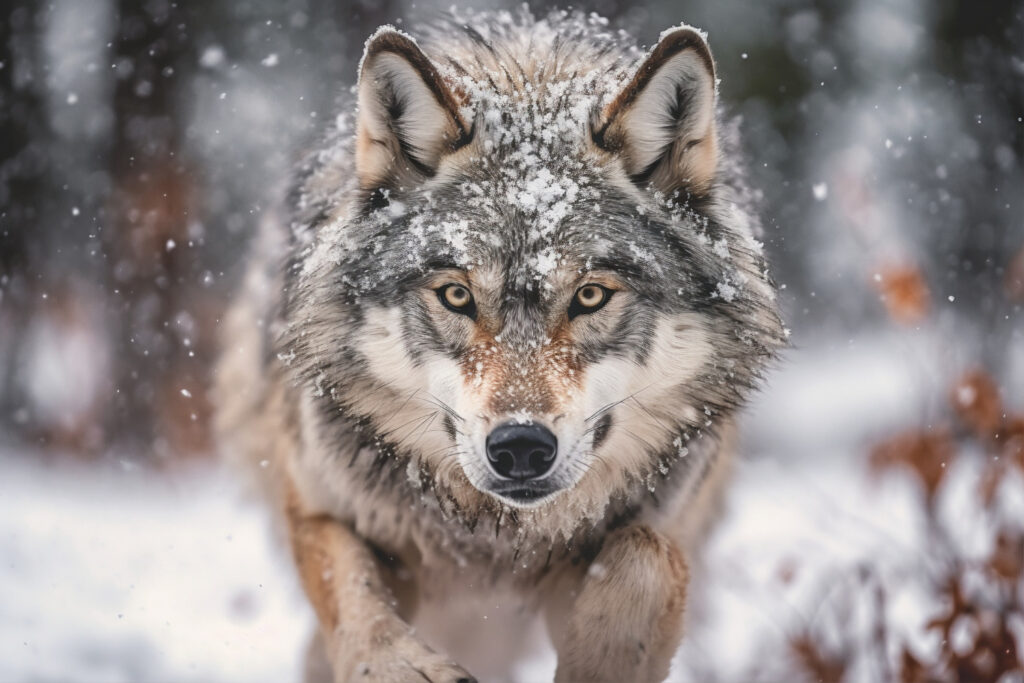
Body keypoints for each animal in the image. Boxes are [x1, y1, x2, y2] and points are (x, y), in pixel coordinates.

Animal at [215, 9, 785, 682]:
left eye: (590, 296)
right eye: (457, 296)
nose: (520, 448)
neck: (496, 539)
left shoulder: (648, 535)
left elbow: (643, 558)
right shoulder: (317, 510)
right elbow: (350, 588)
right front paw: (402, 667)